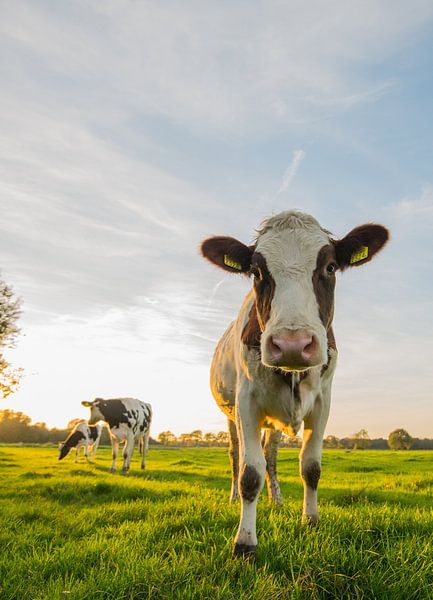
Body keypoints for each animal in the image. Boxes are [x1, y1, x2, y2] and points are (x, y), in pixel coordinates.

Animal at [201, 210, 390, 556]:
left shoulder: (323, 401)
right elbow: (250, 473)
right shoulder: (246, 402)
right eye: (256, 271)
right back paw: (233, 497)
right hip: (230, 414)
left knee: (271, 456)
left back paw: (276, 500)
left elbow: (310, 467)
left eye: (330, 267)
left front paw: (310, 520)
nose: (292, 344)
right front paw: (245, 543)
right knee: (236, 455)